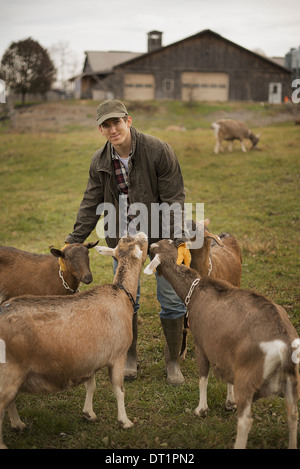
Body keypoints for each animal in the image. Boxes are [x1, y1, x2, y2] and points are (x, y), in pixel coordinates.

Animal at [0, 232, 148, 448]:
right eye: (141, 244)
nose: (142, 234)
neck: (120, 293)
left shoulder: (90, 357)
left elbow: (90, 385)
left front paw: (89, 414)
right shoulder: (118, 355)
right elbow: (119, 389)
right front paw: (125, 421)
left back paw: (18, 424)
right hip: (9, 372)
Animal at [144, 239, 298, 448]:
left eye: (154, 250)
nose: (149, 245)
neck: (195, 289)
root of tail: (283, 344)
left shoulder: (202, 344)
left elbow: (203, 377)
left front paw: (201, 409)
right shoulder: (226, 351)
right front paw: (229, 402)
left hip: (249, 376)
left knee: (246, 420)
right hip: (291, 382)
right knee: (293, 416)